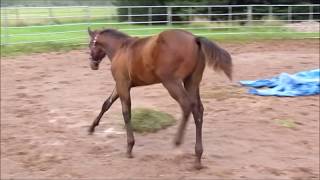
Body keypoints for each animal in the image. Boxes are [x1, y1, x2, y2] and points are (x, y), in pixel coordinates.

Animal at [87, 27, 232, 169]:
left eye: (90, 45)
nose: (92, 65)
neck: (120, 48)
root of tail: (194, 39)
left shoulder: (122, 84)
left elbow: (126, 112)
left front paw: (129, 147)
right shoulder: (120, 85)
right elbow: (106, 104)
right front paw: (91, 128)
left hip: (171, 82)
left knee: (186, 105)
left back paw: (177, 142)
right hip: (191, 81)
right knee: (198, 110)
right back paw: (198, 157)